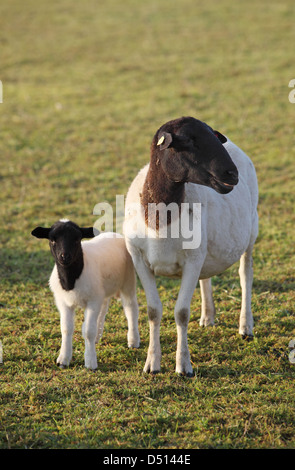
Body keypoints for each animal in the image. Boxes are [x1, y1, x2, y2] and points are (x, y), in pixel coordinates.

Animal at [31, 220, 140, 370]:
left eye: (77, 239)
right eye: (52, 240)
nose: (65, 256)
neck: (70, 280)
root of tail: (114, 234)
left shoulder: (92, 301)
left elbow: (88, 331)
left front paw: (90, 362)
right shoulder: (64, 302)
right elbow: (66, 329)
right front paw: (63, 359)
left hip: (128, 281)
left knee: (131, 308)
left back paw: (133, 340)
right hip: (102, 290)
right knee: (103, 309)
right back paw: (98, 338)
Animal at [123, 115, 260, 376]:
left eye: (213, 136)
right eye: (188, 141)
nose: (232, 173)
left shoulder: (192, 261)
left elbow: (181, 313)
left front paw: (183, 366)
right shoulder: (140, 260)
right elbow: (153, 311)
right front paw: (152, 364)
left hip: (251, 232)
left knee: (245, 275)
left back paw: (245, 326)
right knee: (207, 277)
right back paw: (207, 317)